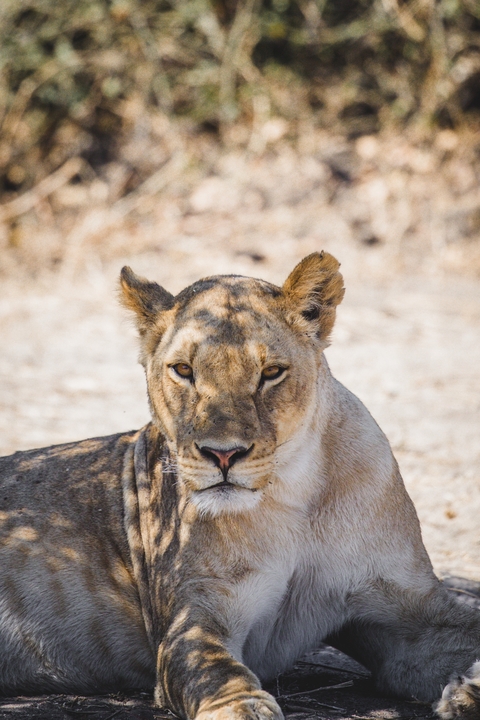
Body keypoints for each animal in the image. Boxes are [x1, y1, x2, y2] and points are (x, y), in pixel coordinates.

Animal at [0, 252, 479, 720]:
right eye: (183, 370)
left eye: (271, 372)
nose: (223, 455)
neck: (291, 497)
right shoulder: (197, 614)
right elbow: (214, 670)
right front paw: (242, 707)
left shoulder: (409, 615)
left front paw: (469, 692)